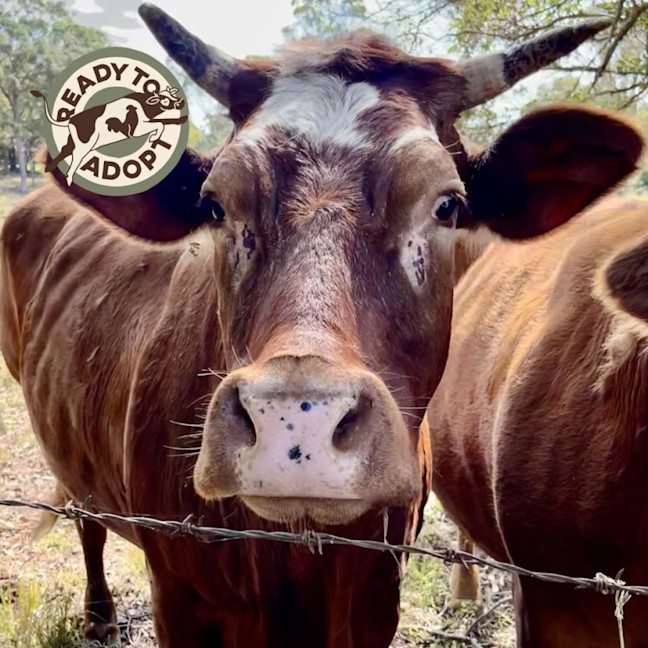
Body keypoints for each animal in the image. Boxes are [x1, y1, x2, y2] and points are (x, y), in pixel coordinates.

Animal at [30, 87, 187, 185]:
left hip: (75, 141)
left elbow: (163, 121)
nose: (181, 102)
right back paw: (69, 179)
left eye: (173, 96)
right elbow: (160, 124)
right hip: (84, 144)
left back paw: (49, 168)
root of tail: (71, 119)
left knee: (65, 150)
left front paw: (181, 119)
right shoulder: (134, 130)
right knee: (75, 157)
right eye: (165, 100)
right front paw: (153, 137)